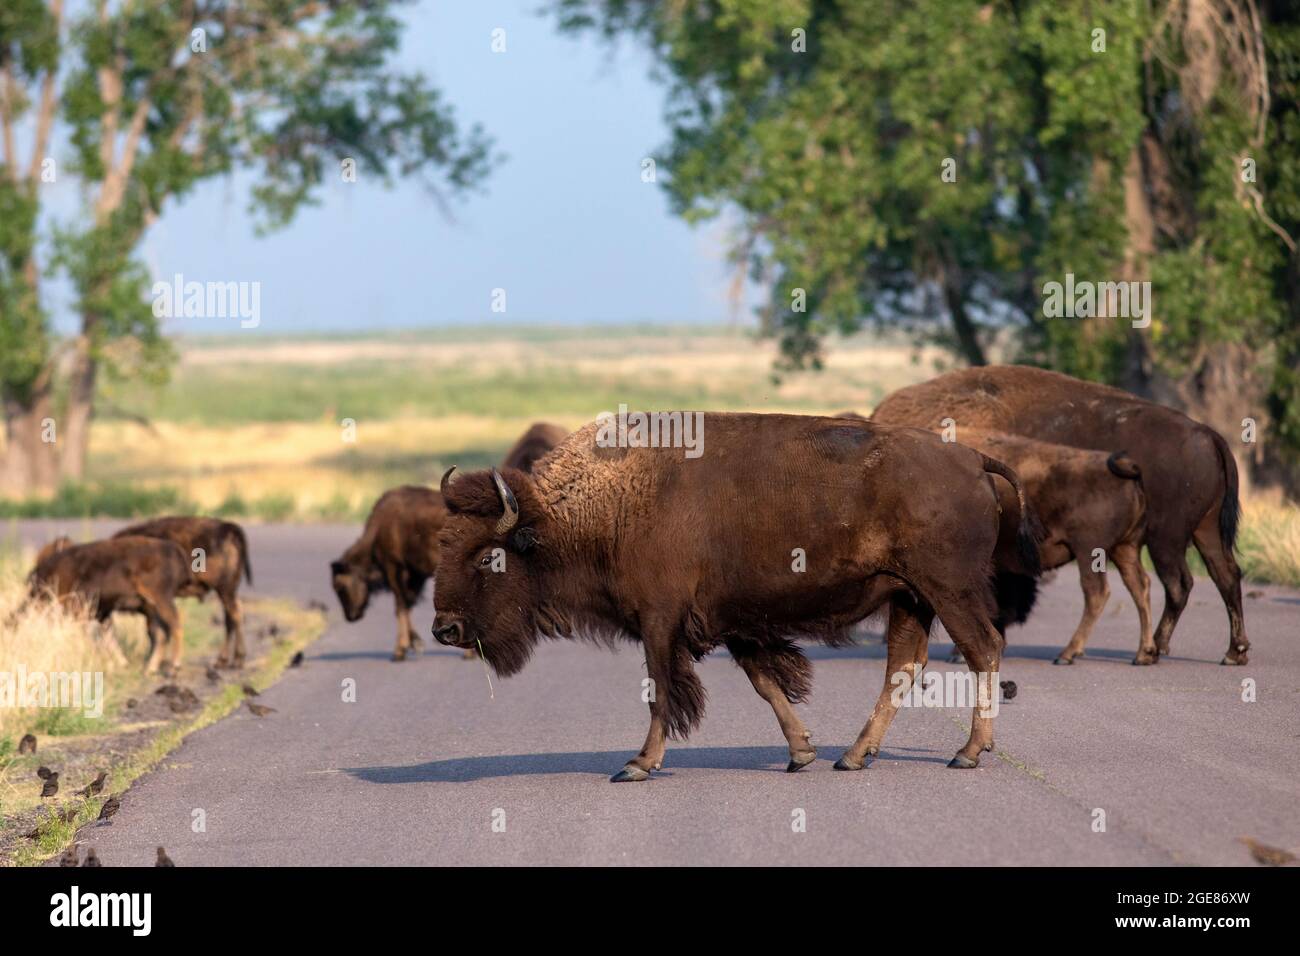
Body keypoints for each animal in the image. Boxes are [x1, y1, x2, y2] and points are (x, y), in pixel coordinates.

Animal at [115, 517, 252, 669]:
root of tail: (227, 527)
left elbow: (154, 630)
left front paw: (153, 661)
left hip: (224, 589)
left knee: (235, 614)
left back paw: (238, 659)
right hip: (227, 591)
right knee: (231, 617)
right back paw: (222, 660)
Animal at [432, 413, 1039, 779]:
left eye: (488, 556)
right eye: (444, 542)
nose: (444, 629)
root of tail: (973, 460)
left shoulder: (660, 623)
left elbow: (662, 693)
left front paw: (637, 764)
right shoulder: (732, 624)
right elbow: (766, 685)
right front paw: (801, 753)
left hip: (947, 590)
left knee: (982, 648)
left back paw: (966, 754)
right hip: (910, 597)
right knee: (904, 665)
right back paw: (852, 756)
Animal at [872, 365, 1248, 664]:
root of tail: (1207, 433)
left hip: (1163, 540)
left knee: (1174, 584)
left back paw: (1138, 649)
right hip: (1202, 531)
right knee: (1223, 575)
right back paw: (1228, 652)